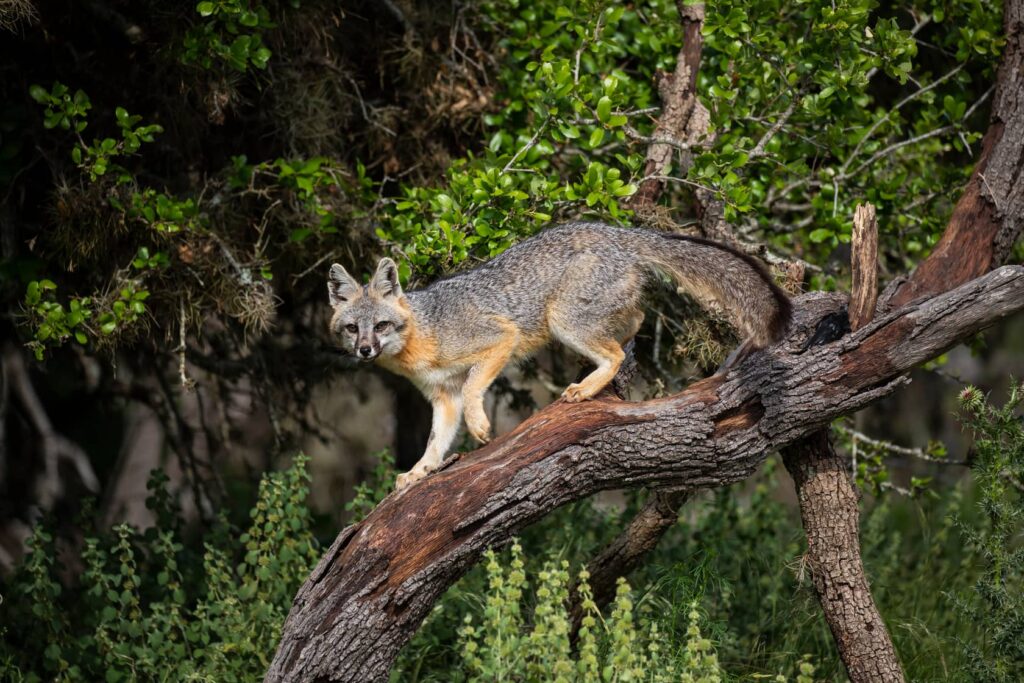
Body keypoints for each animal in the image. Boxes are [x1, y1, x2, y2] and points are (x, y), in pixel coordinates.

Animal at [327, 222, 790, 489]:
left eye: (381, 326)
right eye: (352, 329)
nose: (365, 350)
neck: (424, 334)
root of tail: (622, 232)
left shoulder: (499, 337)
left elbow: (476, 385)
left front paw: (481, 426)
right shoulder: (443, 397)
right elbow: (435, 442)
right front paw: (421, 471)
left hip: (563, 320)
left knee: (615, 351)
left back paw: (587, 389)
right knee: (636, 318)